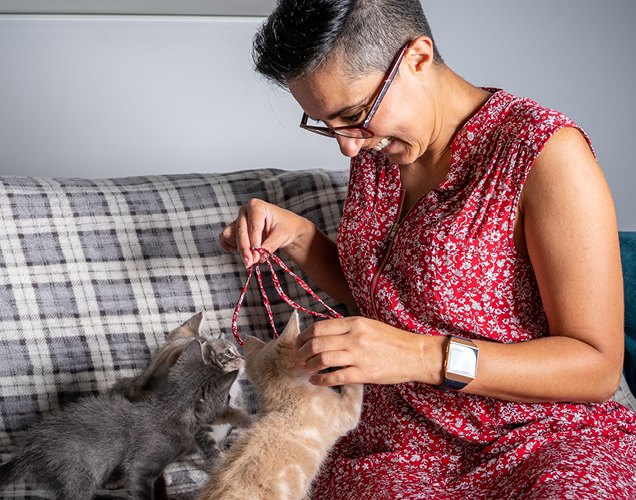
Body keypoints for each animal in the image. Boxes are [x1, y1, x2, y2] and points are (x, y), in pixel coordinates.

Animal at [0, 340, 238, 500]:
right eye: (226, 396)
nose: (231, 399)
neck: (171, 413)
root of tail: (26, 453)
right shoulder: (142, 462)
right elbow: (140, 484)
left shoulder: (156, 470)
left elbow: (159, 484)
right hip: (74, 470)